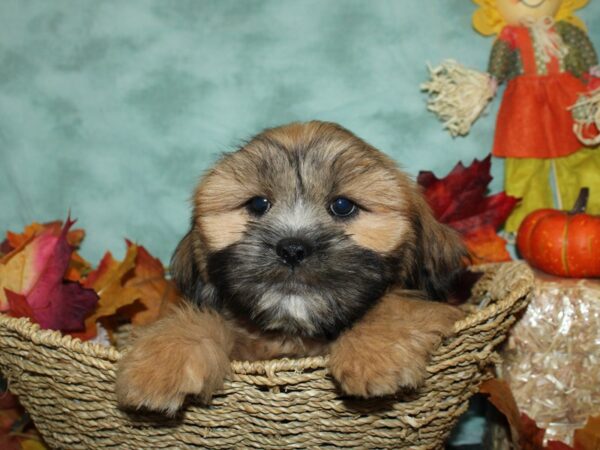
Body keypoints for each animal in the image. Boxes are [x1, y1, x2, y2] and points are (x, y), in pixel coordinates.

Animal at [115, 120, 466, 414]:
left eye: (342, 206)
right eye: (259, 204)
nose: (293, 248)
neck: (294, 335)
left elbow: (398, 307)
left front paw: (373, 354)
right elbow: (203, 319)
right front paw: (162, 362)